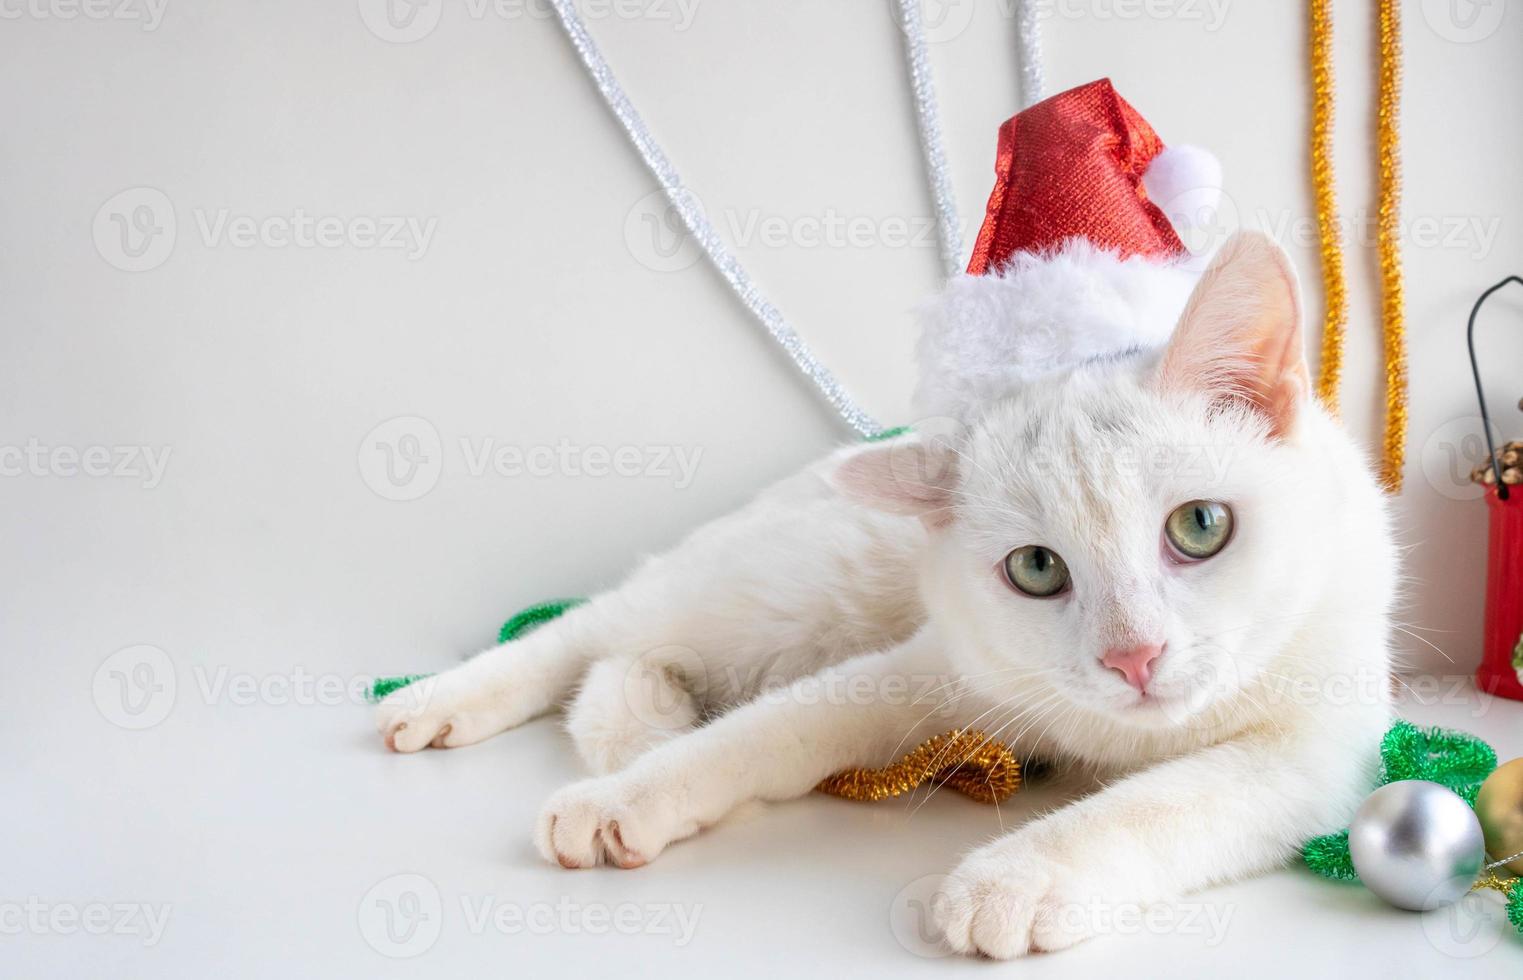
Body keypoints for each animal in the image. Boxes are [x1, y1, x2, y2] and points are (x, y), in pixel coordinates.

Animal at [371, 231, 1395, 957]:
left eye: (1200, 527)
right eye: (1037, 570)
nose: (1132, 656)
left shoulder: (1306, 750)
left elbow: (1159, 802)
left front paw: (1015, 877)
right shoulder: (925, 669)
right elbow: (757, 735)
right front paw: (626, 798)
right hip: (783, 590)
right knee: (594, 625)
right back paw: (437, 701)